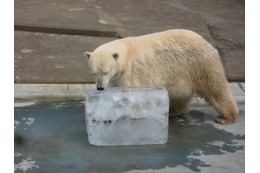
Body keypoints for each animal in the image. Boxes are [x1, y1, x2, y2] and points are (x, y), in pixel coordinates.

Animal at [84, 29, 239, 124]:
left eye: (105, 71)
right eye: (94, 73)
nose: (100, 88)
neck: (126, 55)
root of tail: (206, 42)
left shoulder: (134, 72)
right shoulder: (115, 79)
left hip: (200, 65)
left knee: (216, 89)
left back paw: (226, 117)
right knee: (179, 95)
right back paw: (173, 111)